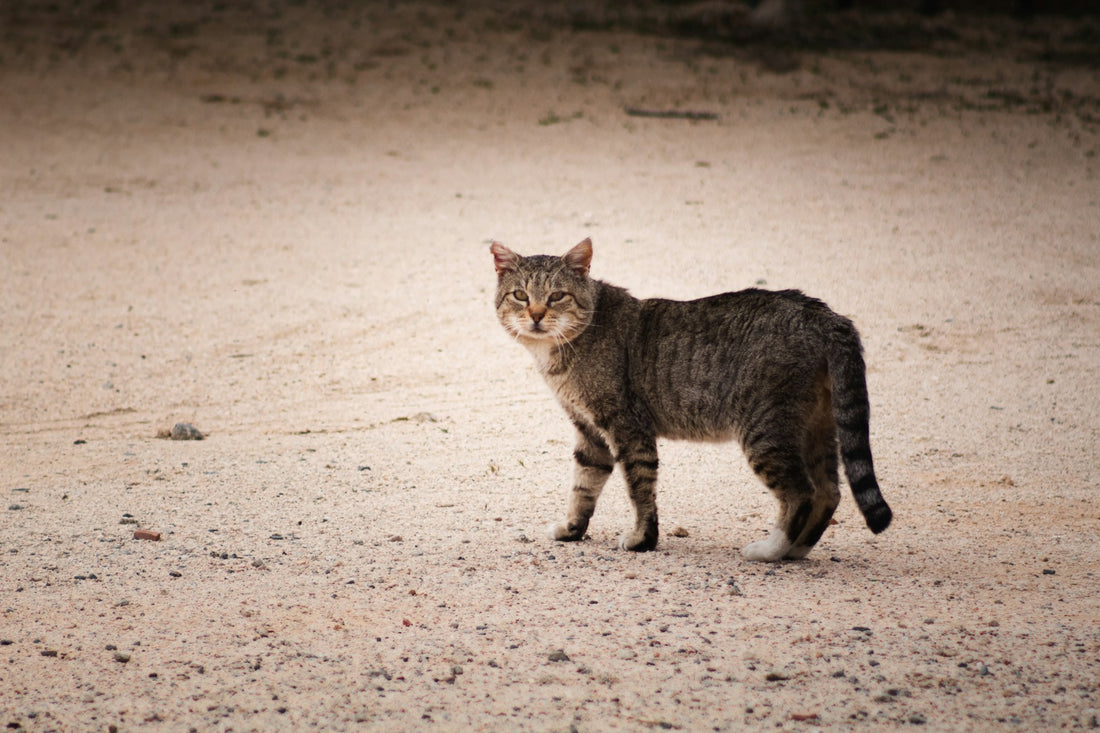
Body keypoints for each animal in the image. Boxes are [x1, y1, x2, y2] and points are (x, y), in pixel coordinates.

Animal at [492, 235, 893, 559]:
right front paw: (572, 530)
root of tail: (825, 315)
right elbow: (582, 487)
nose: (536, 315)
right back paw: (796, 550)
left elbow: (640, 489)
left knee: (803, 493)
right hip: (815, 428)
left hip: (765, 431)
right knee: (829, 493)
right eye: (520, 295)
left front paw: (642, 540)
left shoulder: (628, 428)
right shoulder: (590, 433)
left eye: (557, 296)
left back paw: (771, 550)